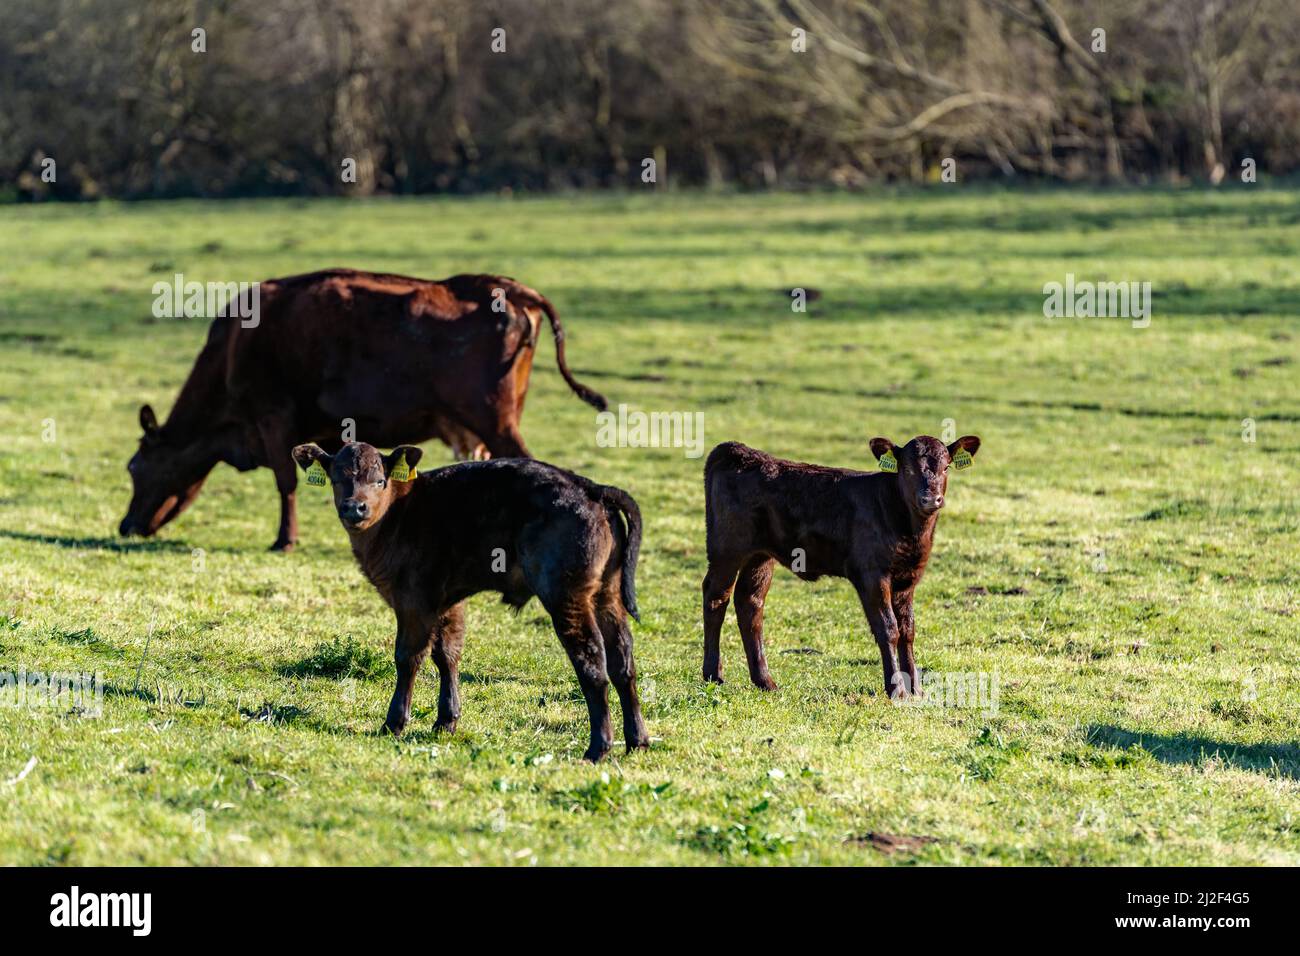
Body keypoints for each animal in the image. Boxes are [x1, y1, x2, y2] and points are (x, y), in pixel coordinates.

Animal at [119, 269, 607, 551]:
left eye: (134, 467)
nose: (125, 525)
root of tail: (504, 287)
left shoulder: (272, 416)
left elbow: (285, 481)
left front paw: (284, 540)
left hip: (494, 419)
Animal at [290, 440, 648, 762]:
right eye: (337, 479)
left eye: (380, 480)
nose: (355, 508)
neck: (397, 514)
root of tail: (591, 487)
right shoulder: (447, 600)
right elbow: (447, 654)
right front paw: (446, 722)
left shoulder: (413, 600)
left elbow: (408, 658)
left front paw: (394, 724)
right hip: (606, 596)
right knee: (623, 663)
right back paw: (637, 741)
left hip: (567, 596)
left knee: (592, 664)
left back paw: (598, 748)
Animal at [700, 434, 981, 697]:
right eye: (908, 469)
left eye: (946, 467)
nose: (930, 499)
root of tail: (736, 450)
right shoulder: (871, 575)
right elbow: (888, 629)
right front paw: (897, 690)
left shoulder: (908, 578)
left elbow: (908, 630)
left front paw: (916, 689)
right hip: (727, 549)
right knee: (716, 597)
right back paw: (713, 675)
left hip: (760, 556)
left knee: (750, 603)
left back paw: (765, 681)